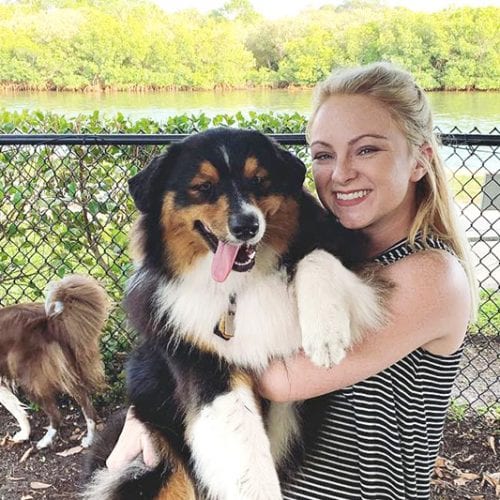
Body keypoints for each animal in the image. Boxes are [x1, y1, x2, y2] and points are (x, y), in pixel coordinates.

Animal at [0, 274, 110, 450]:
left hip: (31, 379)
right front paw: (24, 434)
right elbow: (15, 408)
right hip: (66, 371)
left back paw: (45, 441)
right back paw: (90, 439)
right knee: (87, 404)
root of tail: (48, 320)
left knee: (57, 415)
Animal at [84, 130, 386, 500]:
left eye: (258, 180)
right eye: (203, 187)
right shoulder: (205, 367)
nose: (246, 226)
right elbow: (245, 452)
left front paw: (326, 336)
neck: (237, 289)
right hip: (151, 461)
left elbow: (315, 256)